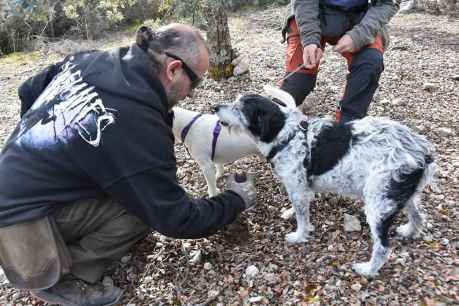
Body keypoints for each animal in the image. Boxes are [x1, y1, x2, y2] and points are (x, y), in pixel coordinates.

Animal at [214, 89, 436, 278]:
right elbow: (298, 208)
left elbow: (302, 218)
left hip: (378, 204)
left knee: (383, 247)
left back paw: (368, 270)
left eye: (239, 108)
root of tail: (422, 152)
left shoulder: (298, 189)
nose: (215, 107)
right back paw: (409, 231)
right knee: (418, 216)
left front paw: (299, 236)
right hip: (401, 196)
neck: (288, 136)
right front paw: (290, 214)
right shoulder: (300, 189)